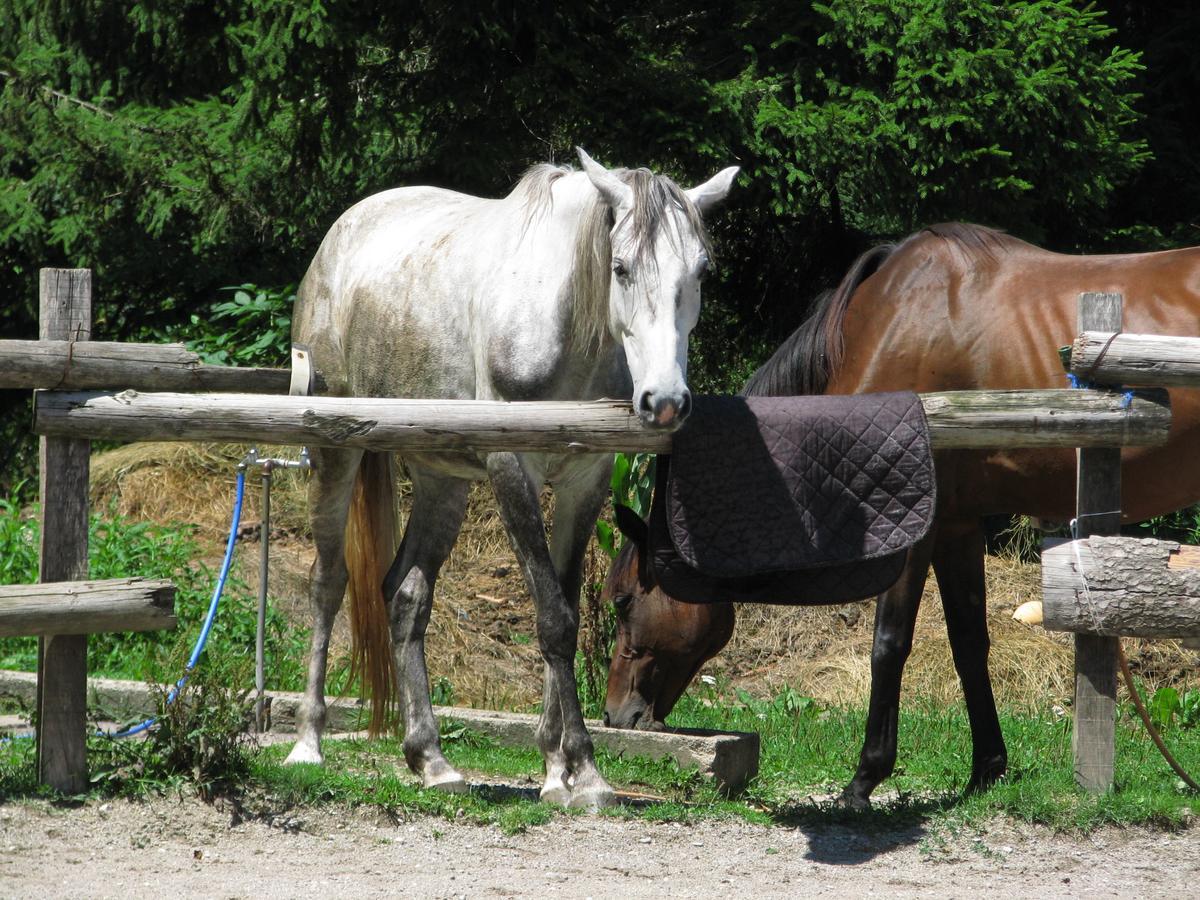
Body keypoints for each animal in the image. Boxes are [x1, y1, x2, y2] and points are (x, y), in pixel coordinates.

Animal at [288, 148, 739, 811]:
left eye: (701, 271)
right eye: (621, 267)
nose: (665, 402)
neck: (561, 324)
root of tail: (336, 241)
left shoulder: (585, 482)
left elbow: (566, 611)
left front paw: (561, 771)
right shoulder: (512, 471)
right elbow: (553, 618)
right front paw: (582, 768)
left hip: (441, 480)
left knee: (405, 595)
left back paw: (431, 759)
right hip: (333, 454)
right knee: (328, 583)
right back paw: (307, 743)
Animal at [604, 224, 1200, 811]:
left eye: (623, 601)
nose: (617, 713)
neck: (887, 330)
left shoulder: (914, 530)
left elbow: (888, 645)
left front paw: (864, 779)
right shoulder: (957, 527)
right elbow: (969, 643)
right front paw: (986, 771)